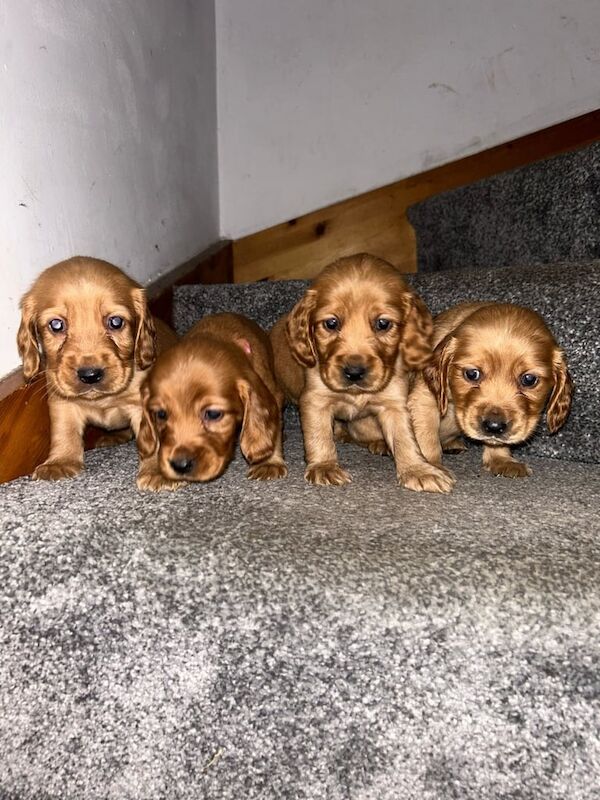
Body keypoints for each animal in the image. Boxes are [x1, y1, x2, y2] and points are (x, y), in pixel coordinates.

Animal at [137, 314, 288, 494]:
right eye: (161, 414)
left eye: (213, 414)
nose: (180, 465)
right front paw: (156, 471)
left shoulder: (272, 392)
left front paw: (269, 462)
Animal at [270, 253, 454, 490]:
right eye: (331, 323)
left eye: (383, 323)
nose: (354, 372)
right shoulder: (315, 398)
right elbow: (319, 435)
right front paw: (324, 467)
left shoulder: (394, 401)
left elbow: (405, 437)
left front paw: (418, 470)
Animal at [410, 300, 576, 476]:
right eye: (472, 374)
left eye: (529, 379)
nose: (494, 426)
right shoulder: (423, 399)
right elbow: (426, 436)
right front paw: (429, 467)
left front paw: (501, 459)